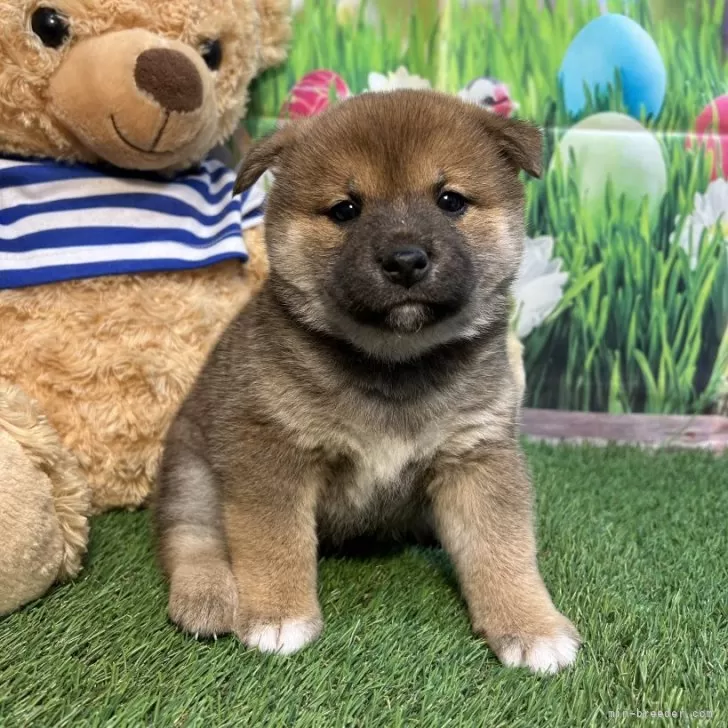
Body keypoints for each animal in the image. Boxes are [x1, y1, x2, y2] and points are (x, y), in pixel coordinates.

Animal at [154, 91, 580, 676]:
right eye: (345, 210)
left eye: (449, 200)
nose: (405, 260)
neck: (393, 367)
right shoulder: (272, 452)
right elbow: (274, 542)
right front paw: (278, 614)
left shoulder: (476, 458)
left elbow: (502, 550)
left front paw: (531, 625)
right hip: (193, 469)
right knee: (191, 538)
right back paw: (210, 596)